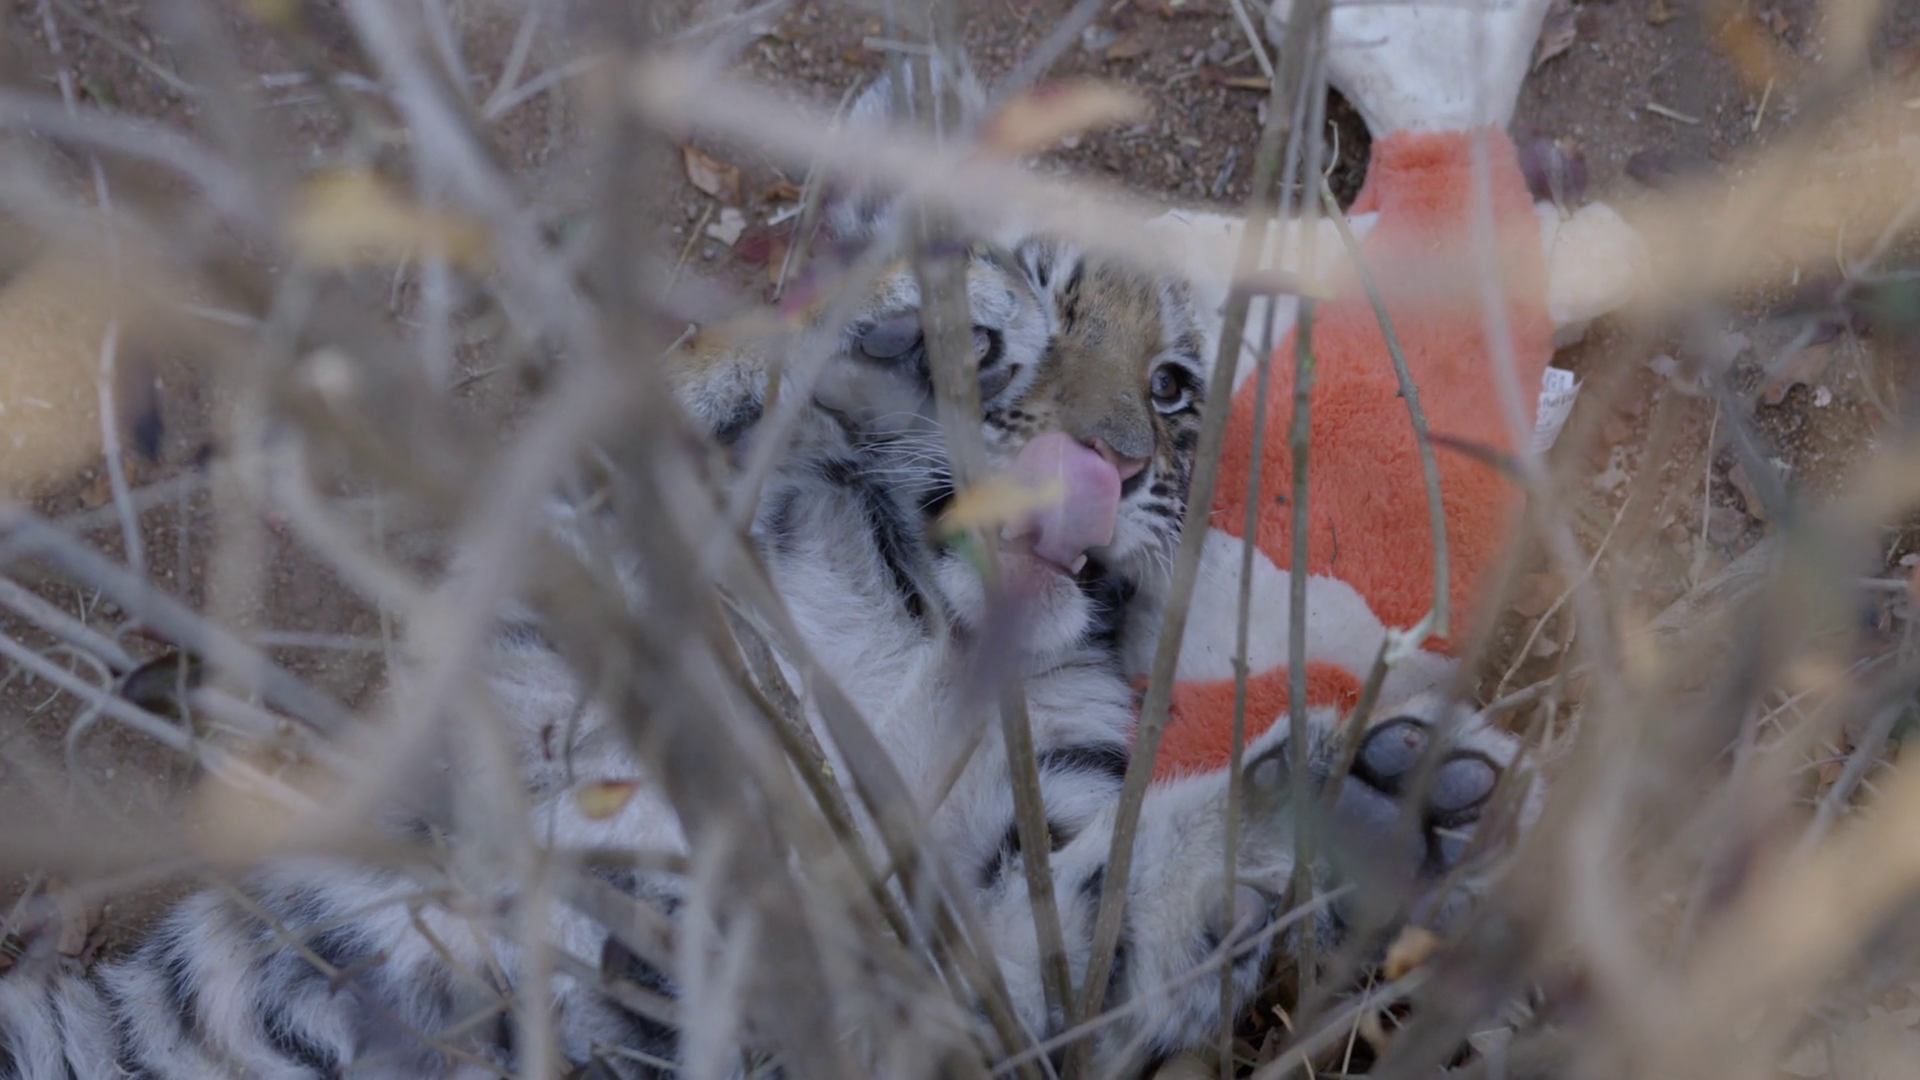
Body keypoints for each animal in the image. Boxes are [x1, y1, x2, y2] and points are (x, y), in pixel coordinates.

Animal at [0, 61, 1541, 1079]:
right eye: (1054, 307)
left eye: (1173, 386)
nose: (1113, 458)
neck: (925, 620)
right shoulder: (597, 569)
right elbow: (707, 389)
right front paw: (898, 305)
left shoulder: (999, 922)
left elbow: (1110, 912)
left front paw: (1377, 804)